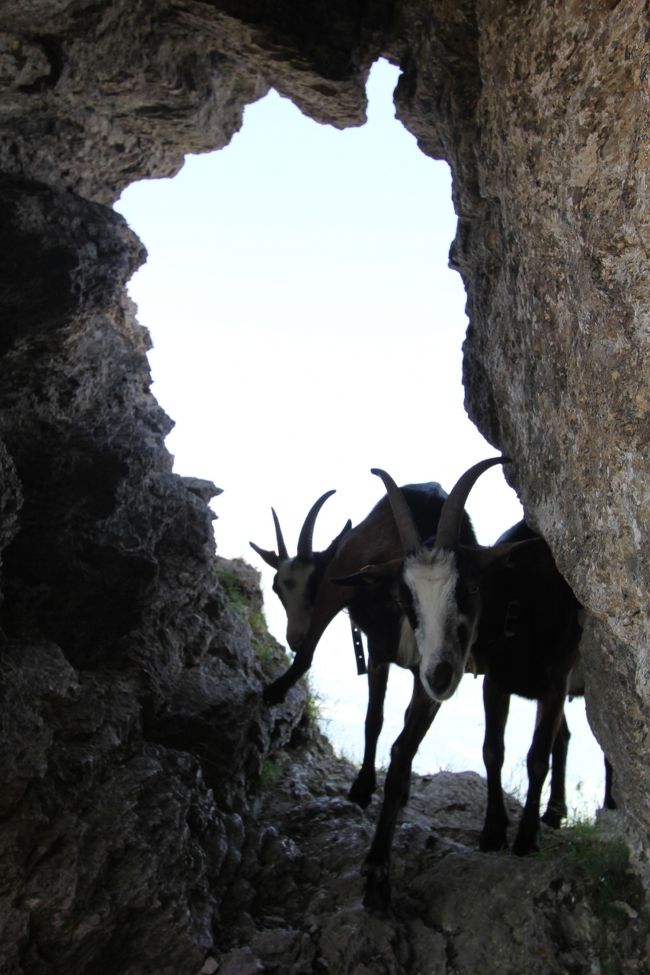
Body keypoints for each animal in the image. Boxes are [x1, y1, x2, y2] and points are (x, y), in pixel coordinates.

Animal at [251, 480, 474, 808]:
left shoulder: (372, 643)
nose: (294, 637)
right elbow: (398, 724)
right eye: (277, 588)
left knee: (309, 655)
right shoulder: (427, 671)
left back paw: (276, 690)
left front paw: (363, 786)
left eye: (312, 582)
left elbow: (374, 718)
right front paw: (383, 786)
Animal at [340, 460, 584, 916]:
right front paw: (492, 832)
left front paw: (525, 840)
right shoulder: (494, 681)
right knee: (562, 737)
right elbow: (487, 751)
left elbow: (535, 758)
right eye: (406, 599)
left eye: (469, 586)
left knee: (558, 743)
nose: (438, 675)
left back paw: (553, 813)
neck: (521, 602)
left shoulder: (556, 679)